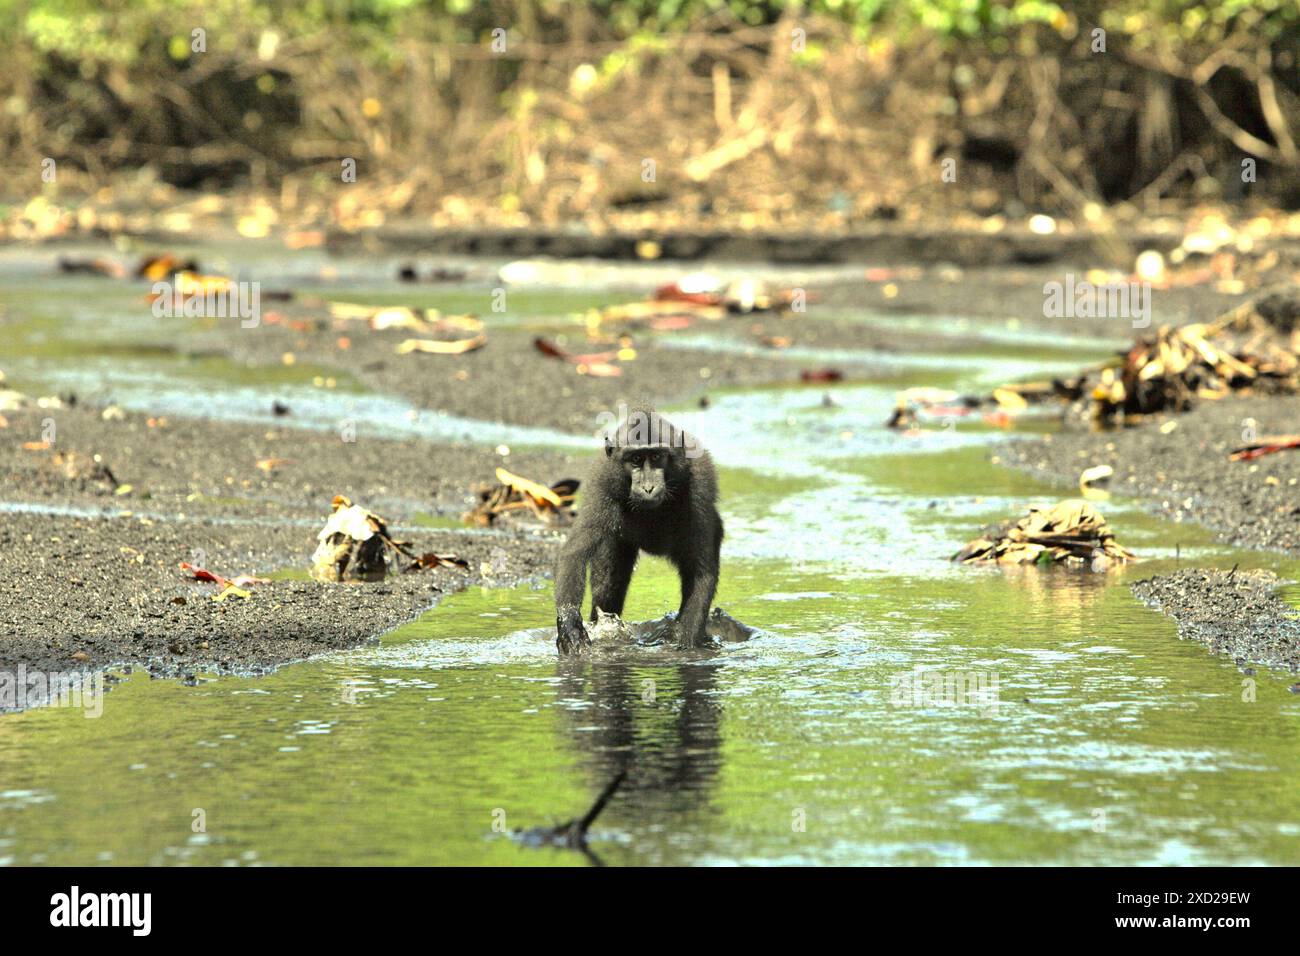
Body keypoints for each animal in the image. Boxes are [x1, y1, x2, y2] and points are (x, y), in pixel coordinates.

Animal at [555, 405, 723, 654]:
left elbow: (701, 573)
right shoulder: (602, 483)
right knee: (609, 580)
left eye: (656, 457)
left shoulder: (699, 486)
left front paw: (686, 646)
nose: (648, 487)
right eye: (635, 459)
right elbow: (574, 552)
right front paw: (569, 624)